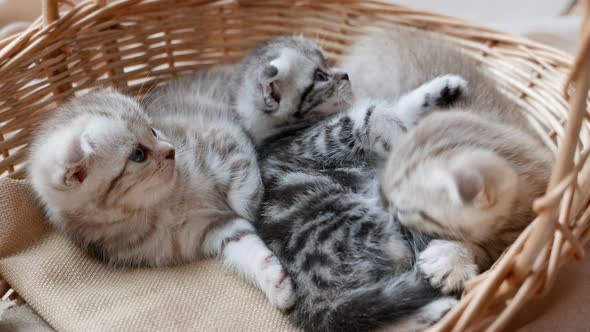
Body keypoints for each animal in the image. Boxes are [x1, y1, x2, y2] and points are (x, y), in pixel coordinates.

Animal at [27, 88, 296, 308]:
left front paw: (255, 207)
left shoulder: (219, 134)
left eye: (153, 129)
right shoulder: (209, 228)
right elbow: (245, 245)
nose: (171, 150)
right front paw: (276, 283)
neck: (164, 201)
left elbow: (243, 187)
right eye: (138, 154)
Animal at [256, 73, 470, 332]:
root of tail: (315, 304)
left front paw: (445, 88)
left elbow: (397, 108)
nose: (345, 75)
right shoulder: (324, 139)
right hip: (361, 221)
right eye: (320, 77)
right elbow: (374, 114)